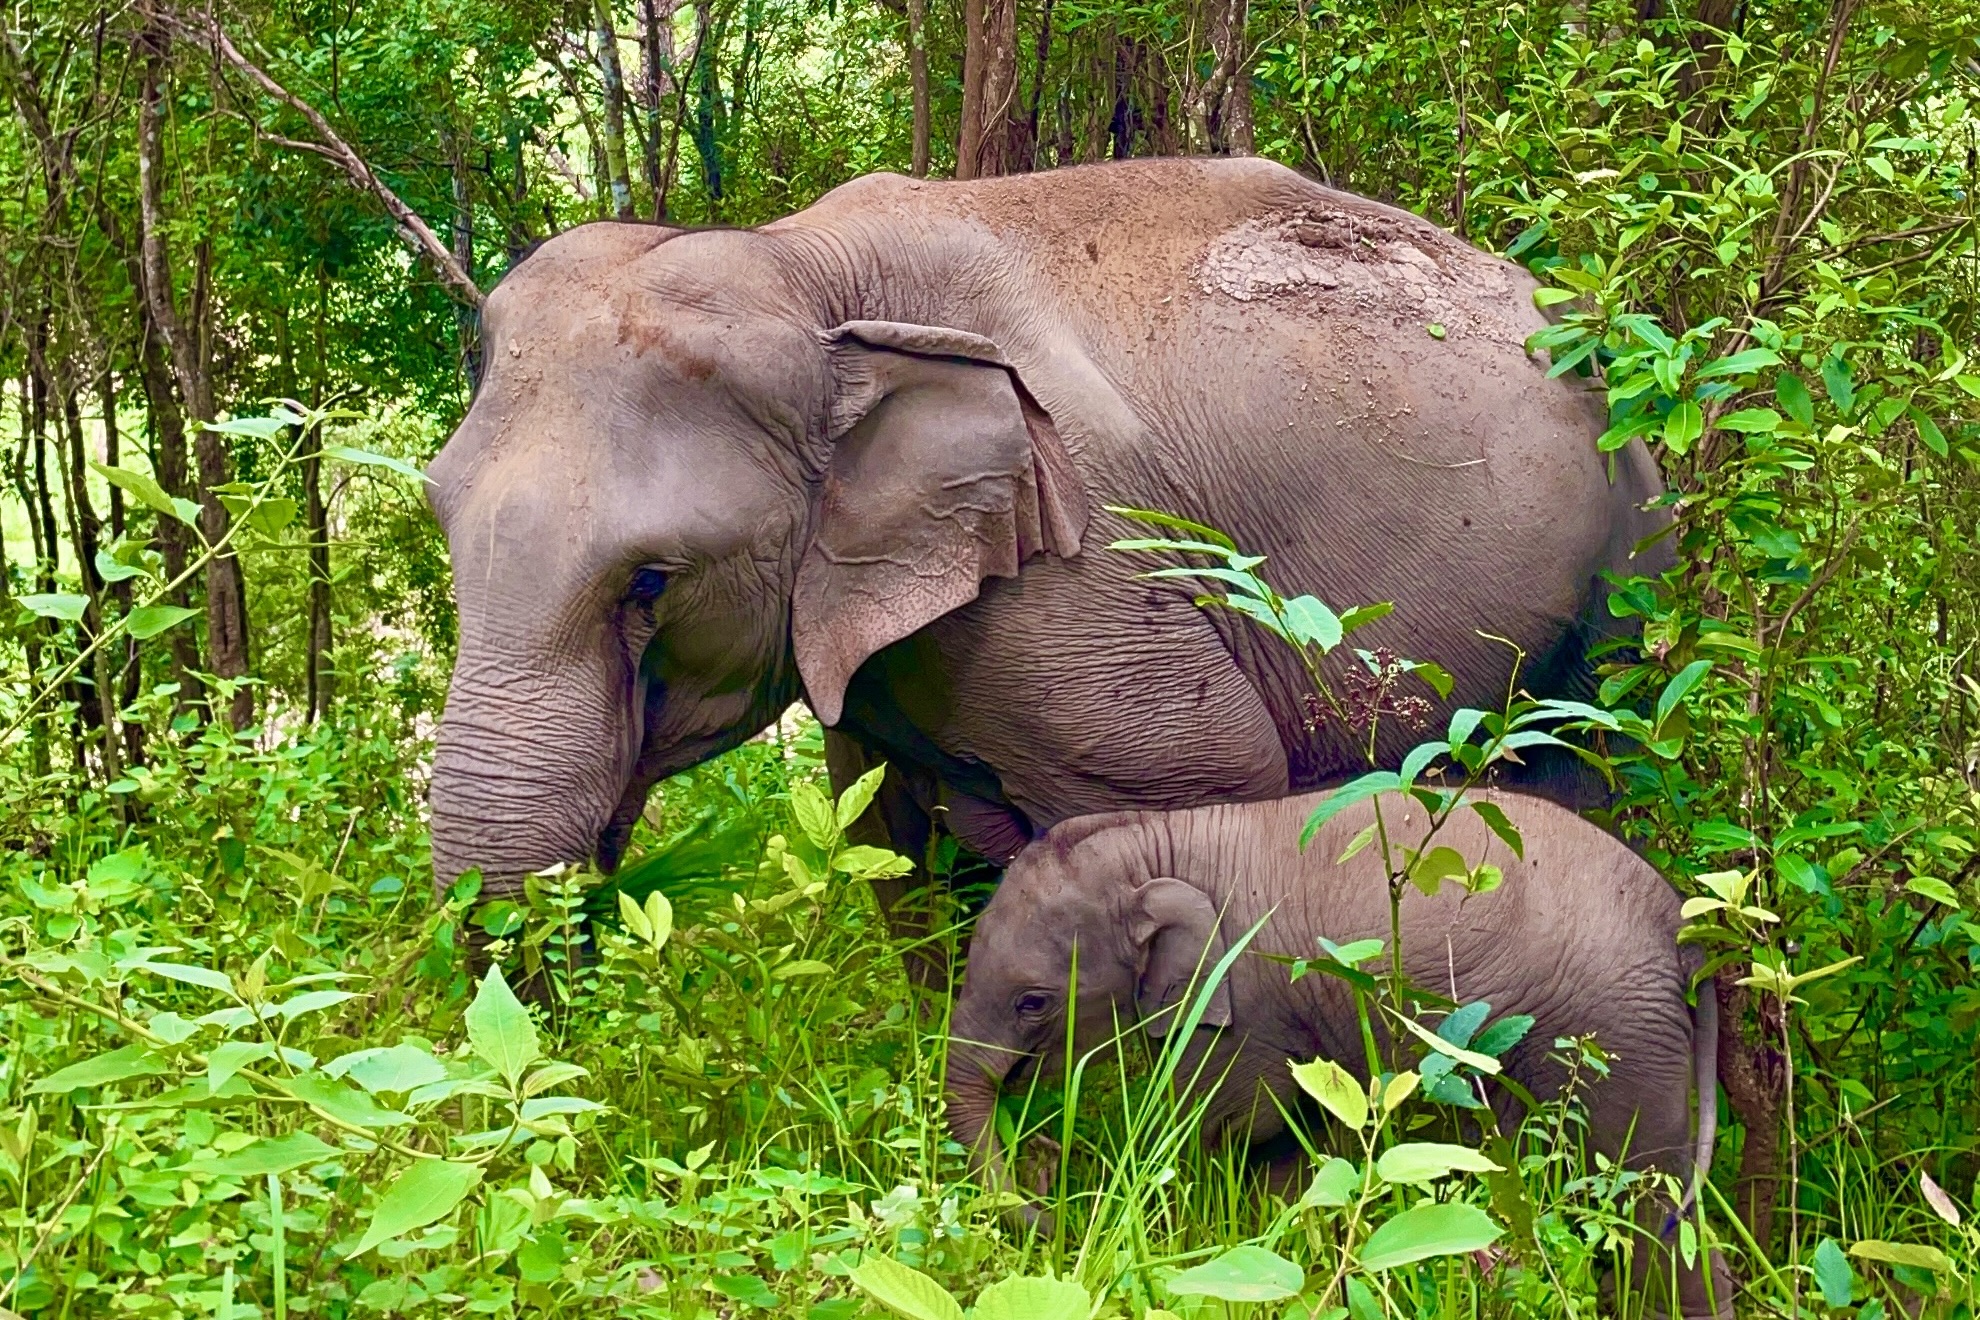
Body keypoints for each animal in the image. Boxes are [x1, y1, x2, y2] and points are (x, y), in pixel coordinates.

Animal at [424, 155, 1670, 918]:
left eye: (649, 583)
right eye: (439, 515)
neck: (802, 265)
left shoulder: (1083, 576)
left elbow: (1196, 790)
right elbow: (894, 844)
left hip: (1628, 561)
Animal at [945, 789, 1729, 1318]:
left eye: (1033, 1003)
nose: (1059, 1211)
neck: (1152, 839)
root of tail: (1685, 932)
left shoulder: (1241, 998)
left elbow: (1236, 1126)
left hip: (1616, 1030)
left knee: (1641, 1193)